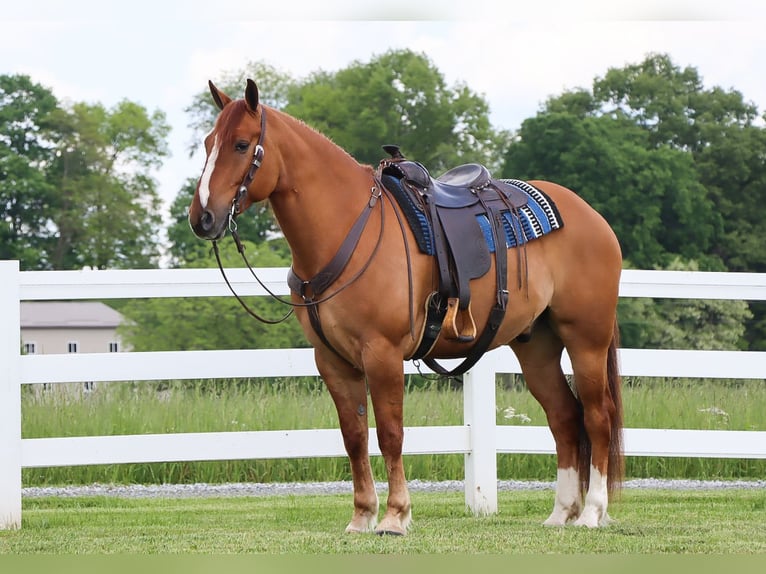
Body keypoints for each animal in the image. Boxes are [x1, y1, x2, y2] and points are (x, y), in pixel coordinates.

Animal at [188, 79, 624, 532]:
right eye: (207, 143)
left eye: (241, 144)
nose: (202, 218)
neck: (347, 228)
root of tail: (590, 216)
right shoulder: (333, 360)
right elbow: (354, 437)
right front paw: (362, 515)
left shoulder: (382, 353)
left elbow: (390, 433)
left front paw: (396, 516)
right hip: (537, 345)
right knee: (564, 416)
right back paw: (561, 512)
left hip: (585, 339)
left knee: (597, 416)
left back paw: (592, 511)